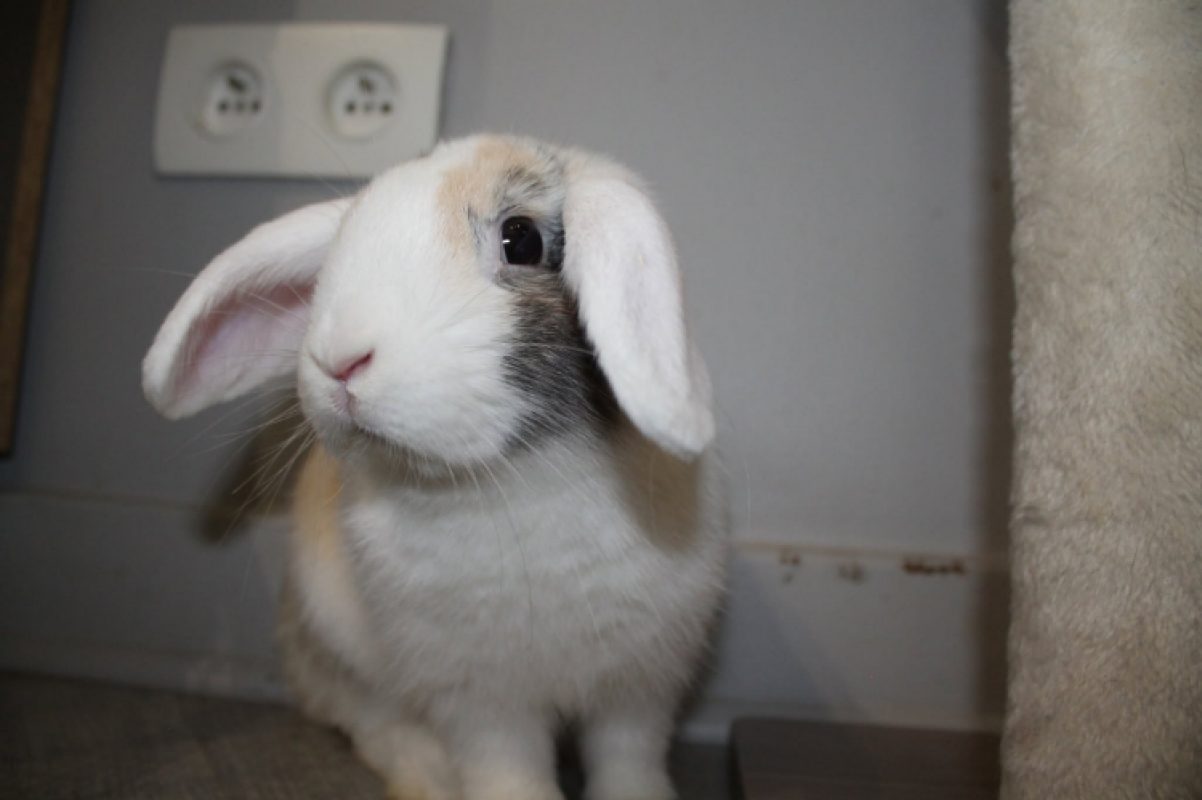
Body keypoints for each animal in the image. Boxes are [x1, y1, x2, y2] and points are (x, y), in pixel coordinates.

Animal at [142, 134, 727, 800]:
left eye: (521, 239)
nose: (339, 359)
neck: (517, 479)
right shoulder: (481, 702)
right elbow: (509, 771)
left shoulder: (640, 685)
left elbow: (628, 758)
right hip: (341, 643)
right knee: (373, 722)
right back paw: (429, 774)